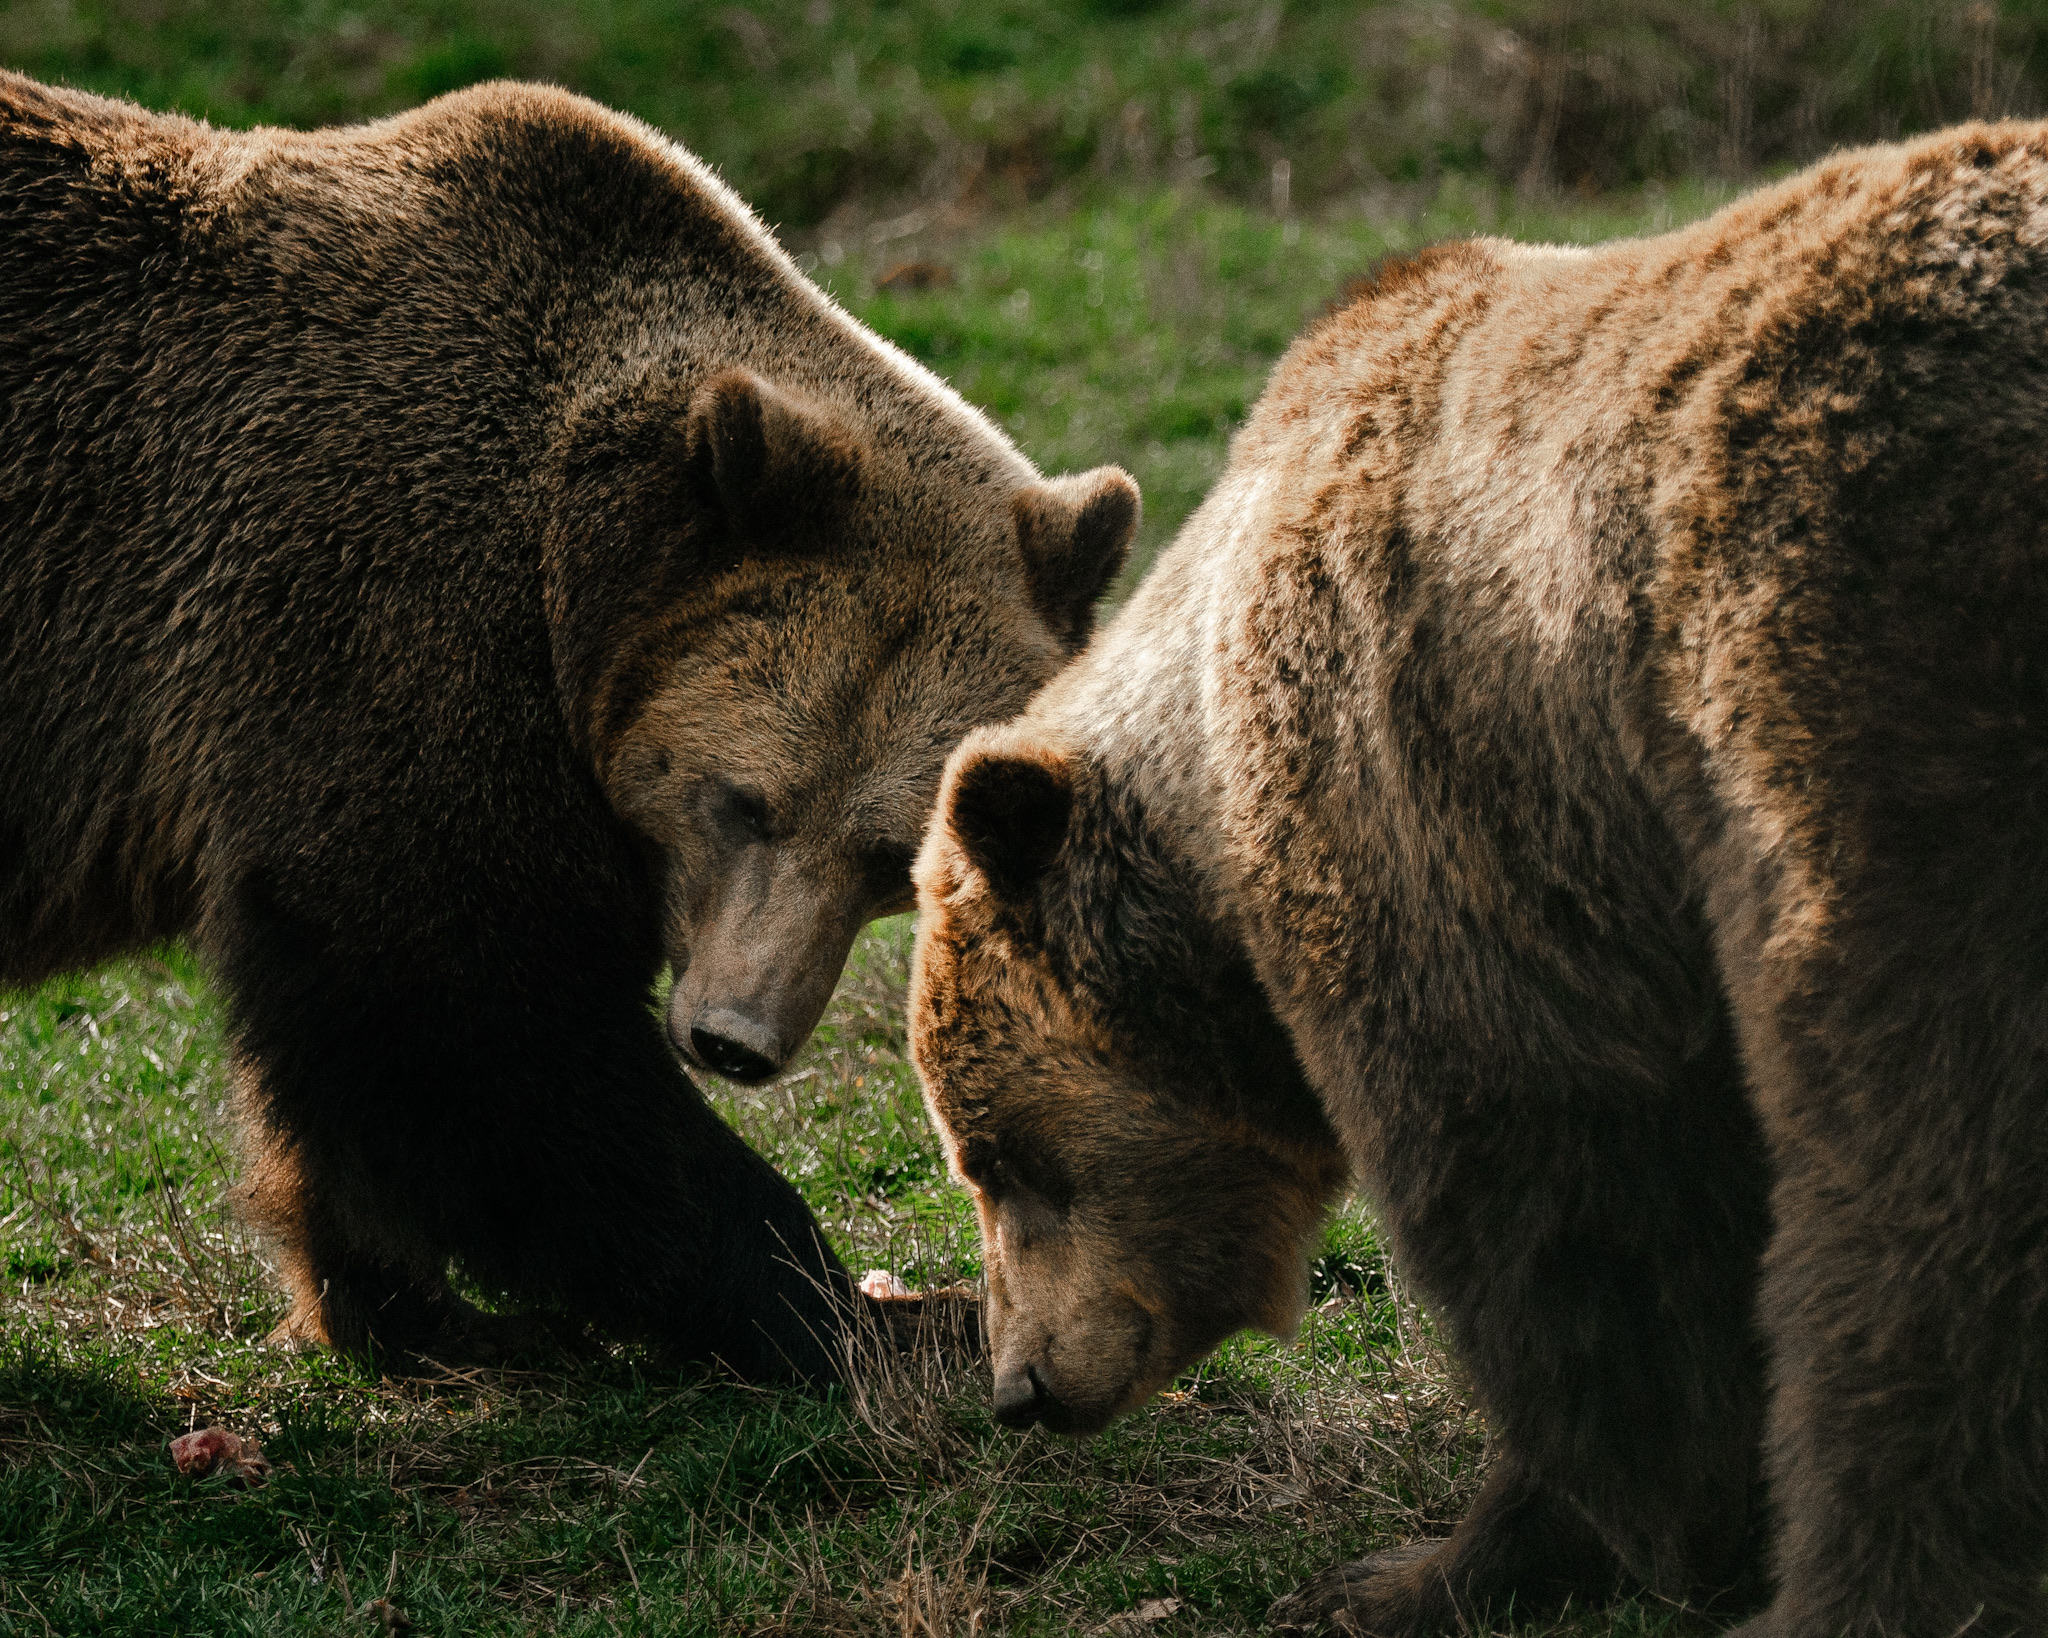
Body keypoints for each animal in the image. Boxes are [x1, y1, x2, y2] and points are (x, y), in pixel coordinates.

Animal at [0, 69, 1138, 1381]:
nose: (735, 1039)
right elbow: (474, 1020)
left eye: (894, 858)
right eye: (742, 804)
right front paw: (859, 1304)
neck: (573, 580)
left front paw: (397, 1305)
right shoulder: (378, 615)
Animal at [909, 120, 2048, 1635]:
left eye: (998, 1158)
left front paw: (1461, 1556)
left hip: (1862, 670)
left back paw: (1867, 1581)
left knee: (1921, 1177)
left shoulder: (1443, 819)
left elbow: (1566, 1209)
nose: (1020, 1387)